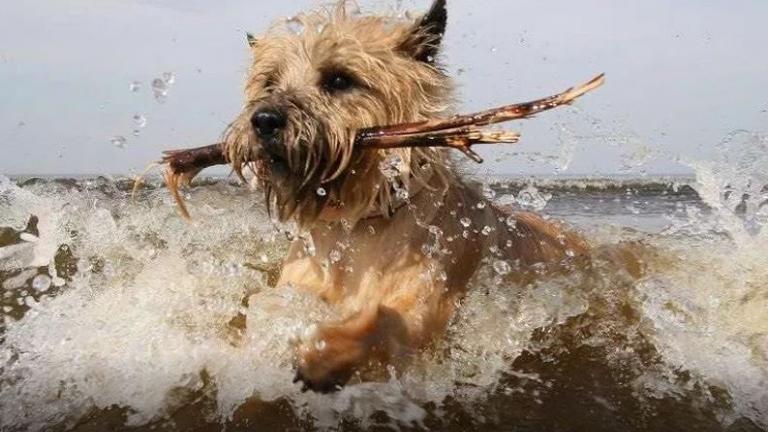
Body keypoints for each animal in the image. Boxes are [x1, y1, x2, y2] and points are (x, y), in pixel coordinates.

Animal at [225, 0, 592, 392]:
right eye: (269, 83)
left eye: (339, 79)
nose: (264, 120)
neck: (355, 228)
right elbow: (269, 307)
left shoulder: (426, 312)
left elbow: (388, 323)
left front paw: (328, 352)